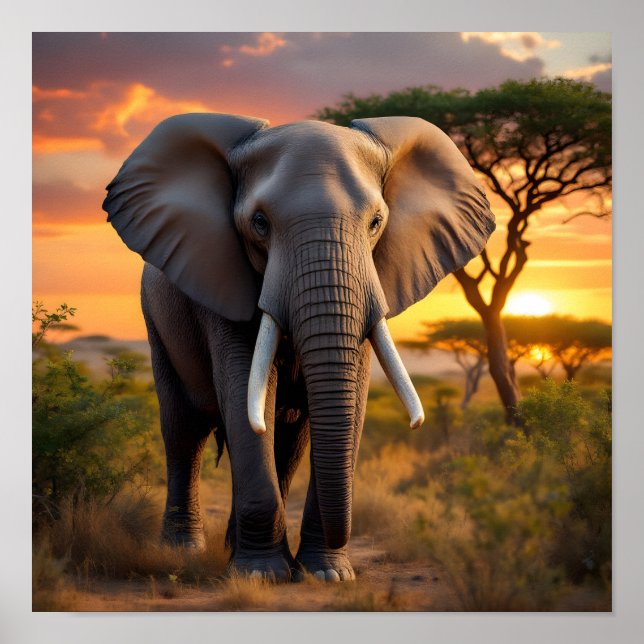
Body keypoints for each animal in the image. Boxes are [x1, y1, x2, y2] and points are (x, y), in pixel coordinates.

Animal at [102, 113, 495, 582]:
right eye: (259, 223)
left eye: (376, 222)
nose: (417, 425)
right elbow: (244, 392)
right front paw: (261, 575)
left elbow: (349, 398)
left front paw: (327, 575)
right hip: (157, 322)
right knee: (184, 431)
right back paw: (184, 552)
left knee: (288, 443)